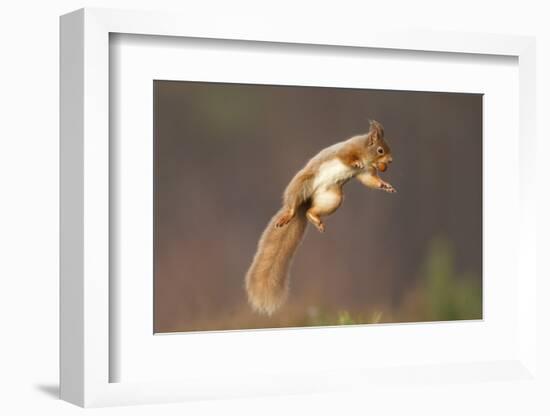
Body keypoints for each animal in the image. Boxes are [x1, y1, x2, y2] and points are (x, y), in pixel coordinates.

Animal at [247, 120, 396, 316]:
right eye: (380, 150)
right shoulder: (347, 150)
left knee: (311, 210)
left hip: (333, 198)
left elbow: (371, 181)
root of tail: (306, 201)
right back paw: (290, 214)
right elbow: (347, 157)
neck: (365, 152)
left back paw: (314, 218)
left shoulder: (366, 173)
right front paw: (355, 161)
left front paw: (386, 186)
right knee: (293, 203)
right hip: (302, 183)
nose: (390, 161)